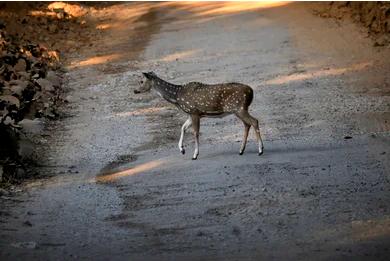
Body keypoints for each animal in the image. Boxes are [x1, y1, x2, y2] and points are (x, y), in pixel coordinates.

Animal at [135, 72, 266, 159]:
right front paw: (182, 149)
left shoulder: (194, 112)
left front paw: (194, 154)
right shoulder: (191, 113)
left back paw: (260, 150)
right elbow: (182, 128)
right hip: (239, 110)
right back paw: (241, 150)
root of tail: (251, 91)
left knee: (254, 121)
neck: (177, 97)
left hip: (239, 108)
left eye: (141, 81)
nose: (135, 91)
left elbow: (195, 132)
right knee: (247, 124)